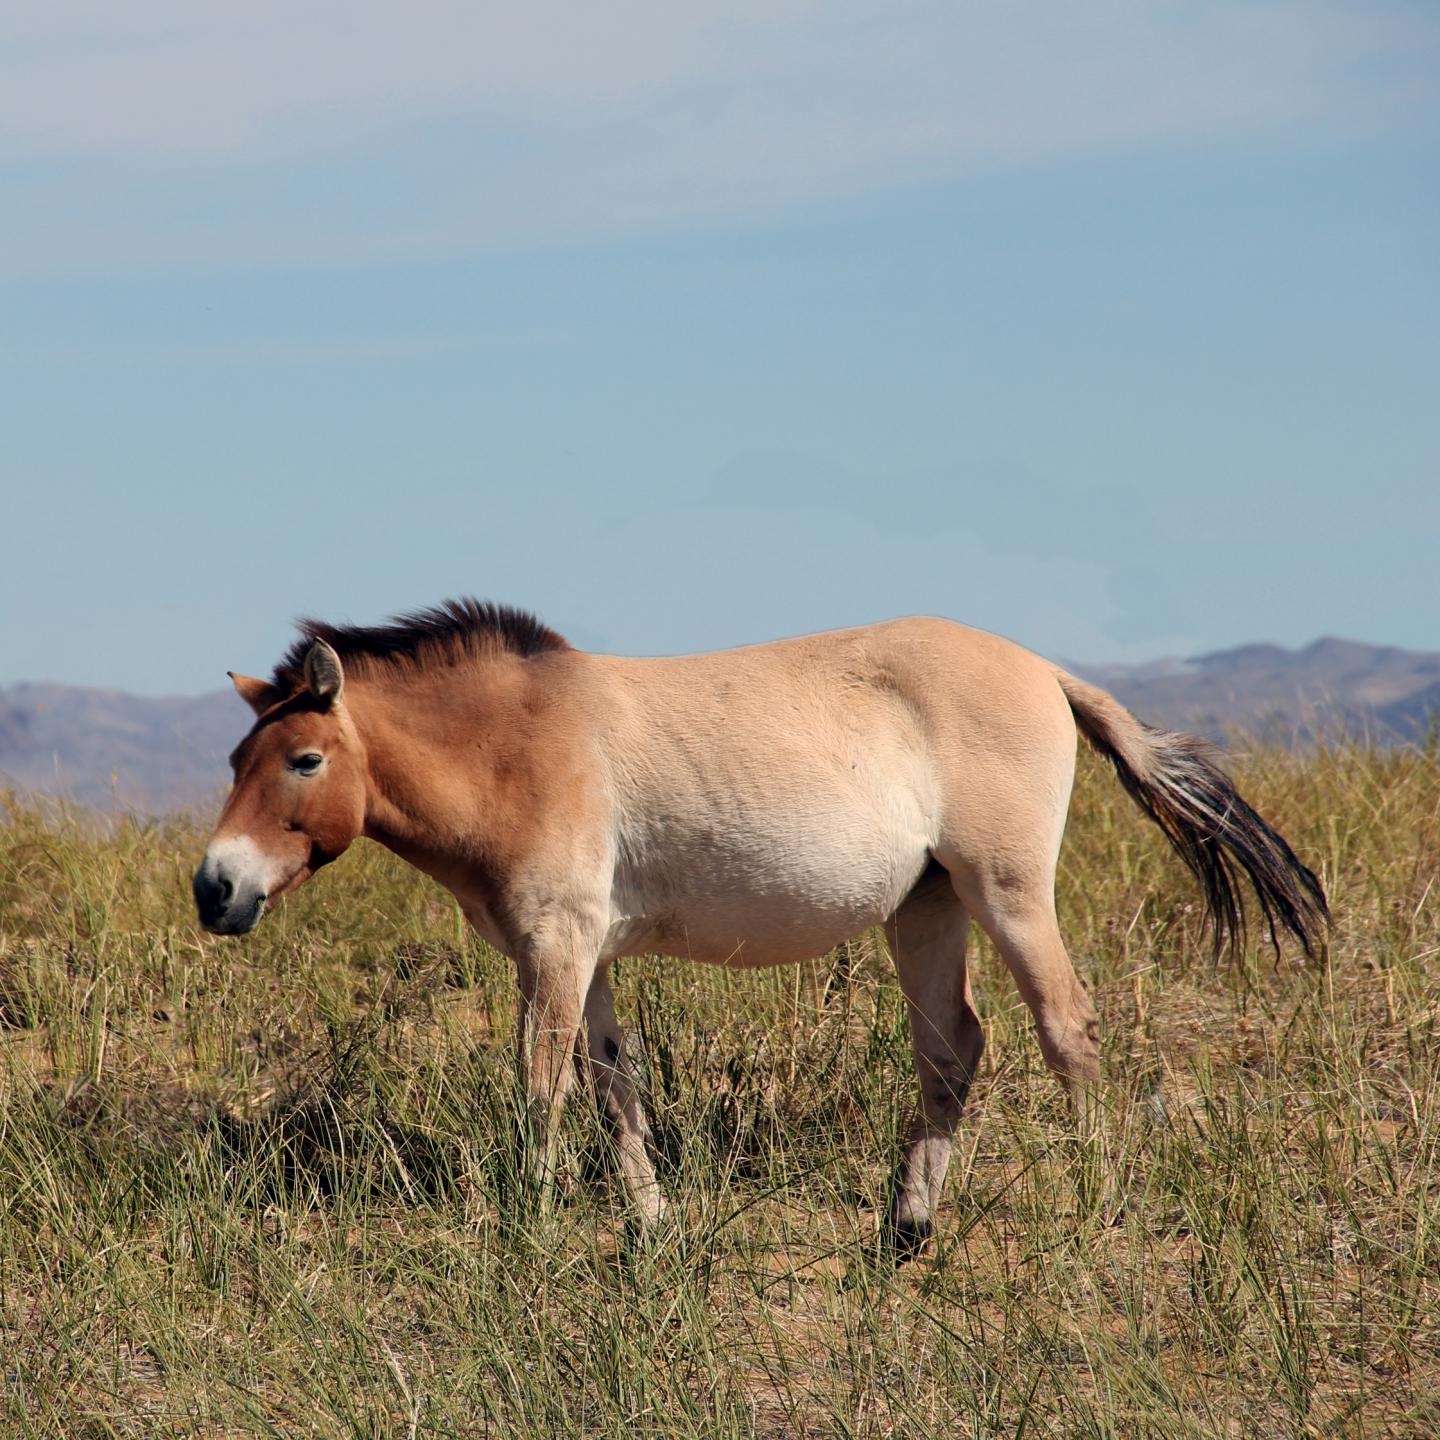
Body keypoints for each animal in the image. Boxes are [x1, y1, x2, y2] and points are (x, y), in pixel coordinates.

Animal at [193, 599, 1328, 1252]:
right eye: (235, 760)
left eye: (303, 761)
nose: (216, 888)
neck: (521, 744)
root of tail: (1044, 669)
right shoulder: (586, 953)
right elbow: (612, 1083)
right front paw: (652, 1228)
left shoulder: (555, 948)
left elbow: (541, 1087)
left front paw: (527, 1225)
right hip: (927, 909)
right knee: (953, 1048)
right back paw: (907, 1229)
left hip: (1006, 894)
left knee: (1067, 1031)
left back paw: (1098, 1207)